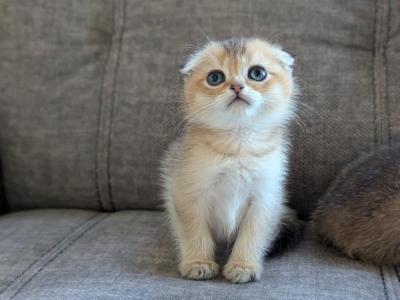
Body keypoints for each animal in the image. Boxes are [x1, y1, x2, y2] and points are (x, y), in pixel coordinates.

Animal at [161, 38, 298, 284]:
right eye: (215, 78)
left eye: (257, 73)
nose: (236, 86)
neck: (238, 145)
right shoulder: (188, 192)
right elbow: (194, 231)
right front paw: (199, 263)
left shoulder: (265, 198)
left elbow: (252, 235)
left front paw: (242, 265)